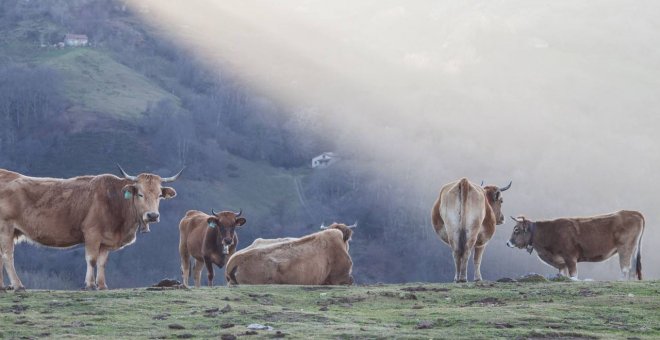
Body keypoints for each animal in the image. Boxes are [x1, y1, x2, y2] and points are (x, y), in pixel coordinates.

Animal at [0, 165, 180, 292]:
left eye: (159, 195)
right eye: (140, 194)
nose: (152, 215)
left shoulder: (106, 240)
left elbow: (102, 262)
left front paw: (102, 285)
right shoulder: (92, 233)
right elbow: (92, 259)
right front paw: (90, 284)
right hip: (6, 228)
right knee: (7, 256)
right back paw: (18, 285)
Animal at [506, 211, 644, 280]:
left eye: (516, 230)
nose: (508, 243)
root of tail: (634, 212)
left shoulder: (570, 257)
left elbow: (574, 276)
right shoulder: (562, 264)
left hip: (625, 248)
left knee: (625, 268)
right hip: (633, 248)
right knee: (632, 269)